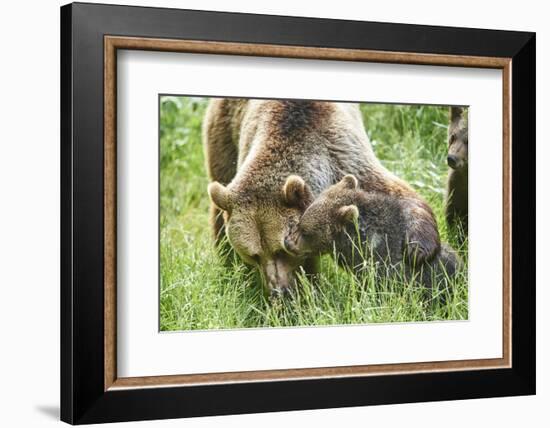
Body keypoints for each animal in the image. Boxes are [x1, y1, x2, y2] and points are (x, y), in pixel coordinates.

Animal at [203, 99, 440, 294]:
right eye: (254, 255)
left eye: (281, 251)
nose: (278, 290)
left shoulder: (343, 156)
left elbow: (400, 195)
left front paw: (418, 250)